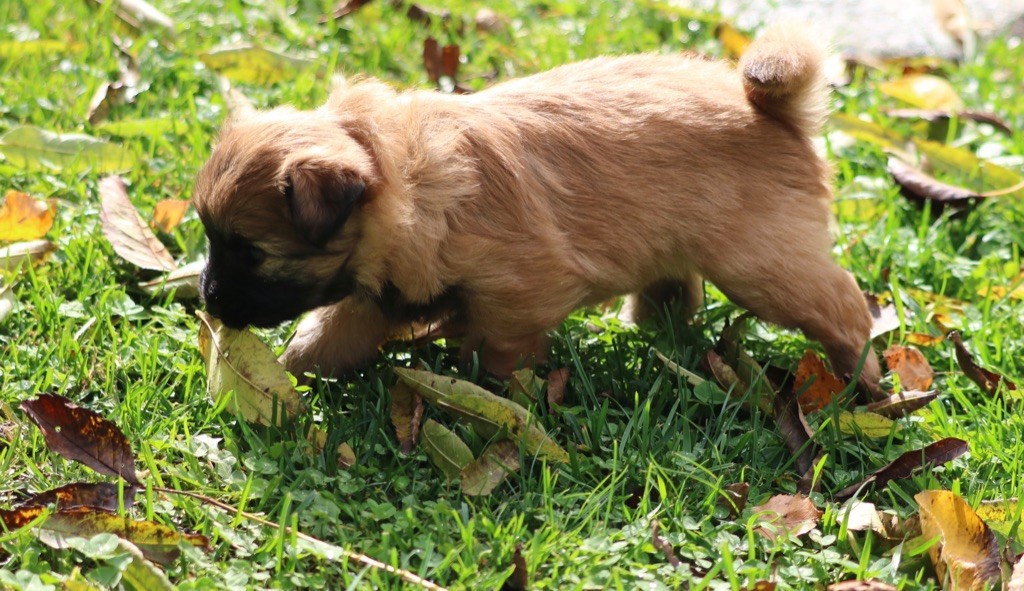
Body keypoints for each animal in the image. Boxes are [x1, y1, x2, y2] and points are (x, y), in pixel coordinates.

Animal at [193, 24, 883, 397]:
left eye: (250, 252)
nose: (207, 300)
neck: (406, 179)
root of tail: (773, 111)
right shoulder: (376, 293)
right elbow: (325, 336)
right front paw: (284, 381)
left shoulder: (520, 293)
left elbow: (497, 354)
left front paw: (490, 393)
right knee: (676, 289)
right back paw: (659, 329)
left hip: (763, 267)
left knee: (846, 309)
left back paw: (864, 384)